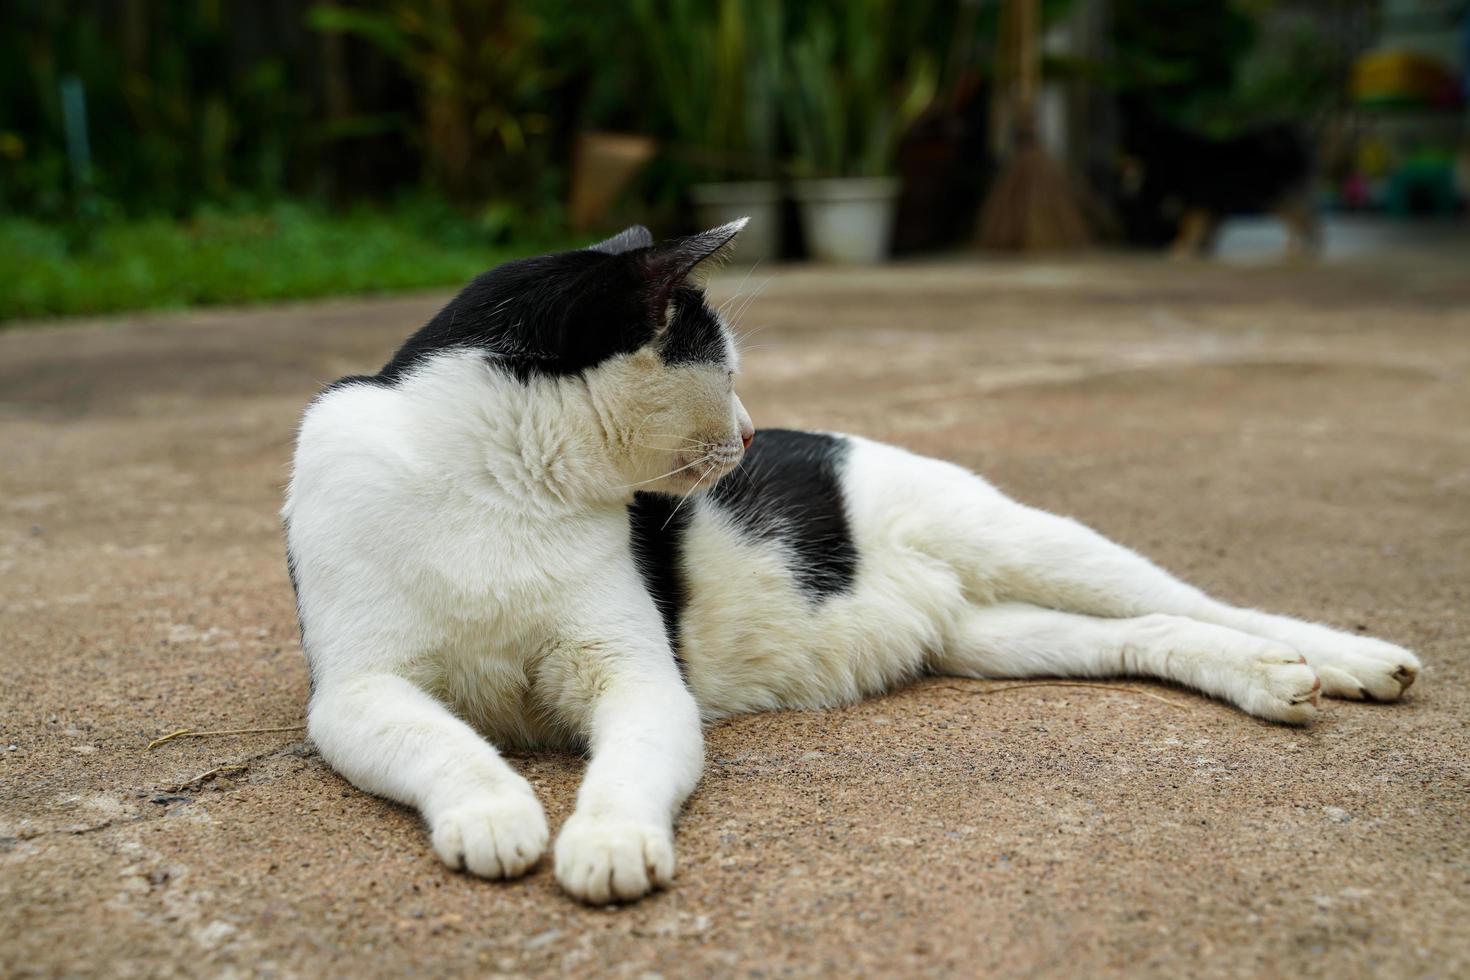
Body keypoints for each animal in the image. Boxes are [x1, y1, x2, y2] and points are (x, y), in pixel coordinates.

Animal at [280, 220, 1417, 905]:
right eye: (722, 369)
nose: (748, 434)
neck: (501, 482)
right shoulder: (356, 691)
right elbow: (445, 742)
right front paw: (494, 811)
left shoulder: (640, 676)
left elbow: (627, 766)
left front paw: (603, 842)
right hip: (997, 636)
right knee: (1153, 631)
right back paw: (1267, 681)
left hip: (1025, 539)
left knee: (1204, 598)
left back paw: (1349, 659)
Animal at [1105, 103, 1323, 258]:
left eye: (1126, 151)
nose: (1116, 165)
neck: (1165, 154)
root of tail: (1301, 136)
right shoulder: (1207, 205)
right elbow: (1205, 227)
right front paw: (1200, 248)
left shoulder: (1195, 201)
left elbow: (1188, 226)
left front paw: (1182, 247)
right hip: (1278, 200)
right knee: (1302, 220)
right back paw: (1299, 249)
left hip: (1280, 197)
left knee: (1306, 220)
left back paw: (1306, 250)